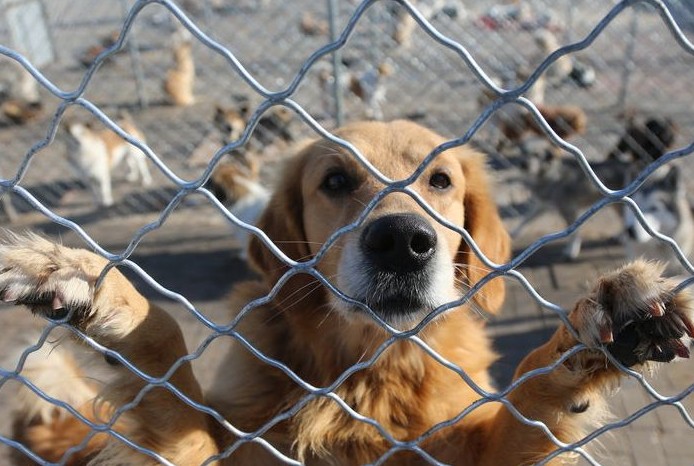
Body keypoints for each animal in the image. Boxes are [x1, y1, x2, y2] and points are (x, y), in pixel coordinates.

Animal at [2, 121, 692, 466]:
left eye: (441, 180)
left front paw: (597, 327)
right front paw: (97, 288)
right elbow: (165, 354)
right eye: (334, 180)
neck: (366, 371)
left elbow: (530, 389)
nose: (402, 242)